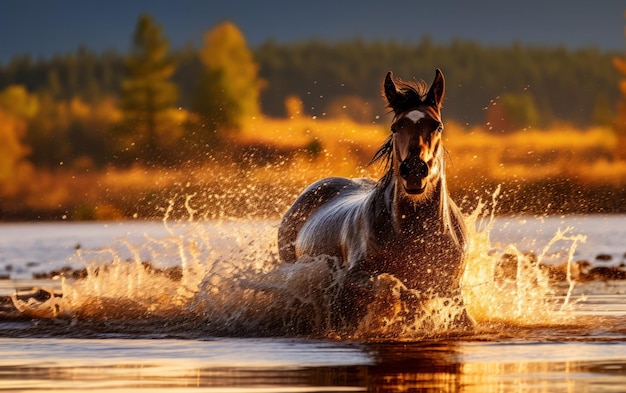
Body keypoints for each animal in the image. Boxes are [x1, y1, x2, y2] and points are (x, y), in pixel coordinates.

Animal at [278, 69, 468, 328]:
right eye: (395, 127)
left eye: (437, 126)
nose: (414, 170)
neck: (416, 234)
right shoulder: (353, 277)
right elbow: (390, 284)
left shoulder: (451, 288)